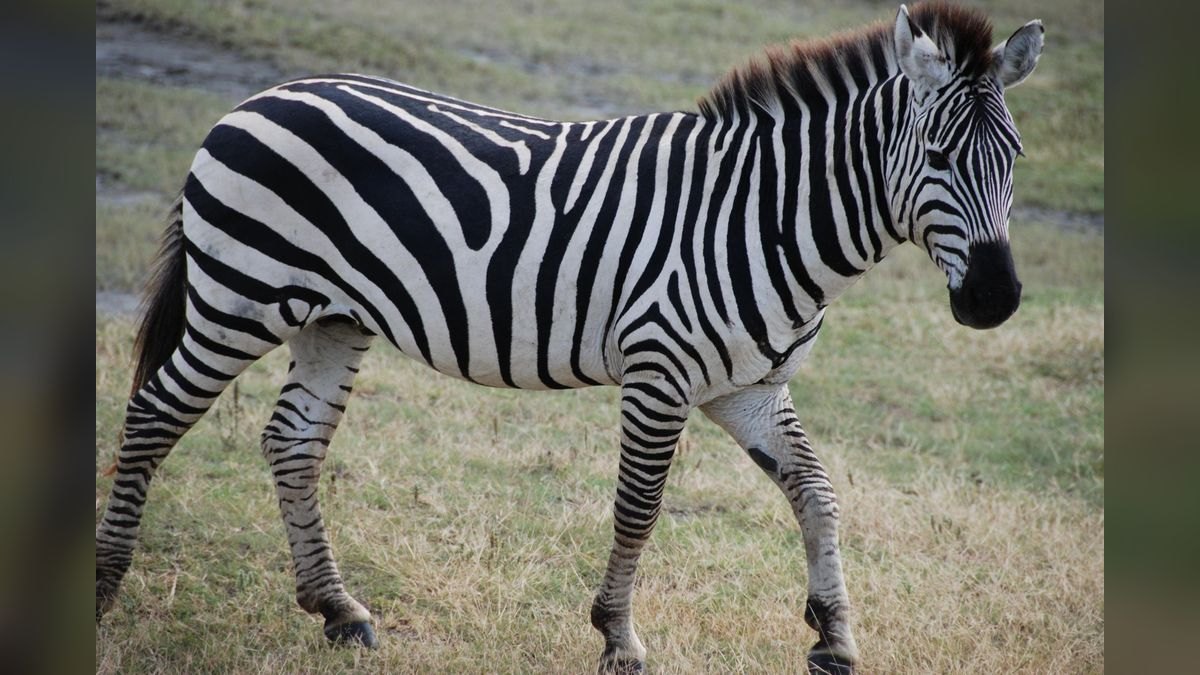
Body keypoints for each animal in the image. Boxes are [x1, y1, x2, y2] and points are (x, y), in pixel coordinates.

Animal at [95, 2, 1043, 672]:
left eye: (1017, 158)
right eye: (937, 156)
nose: (995, 300)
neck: (766, 217)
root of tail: (255, 99)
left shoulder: (749, 384)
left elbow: (816, 490)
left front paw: (835, 637)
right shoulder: (661, 371)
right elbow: (640, 505)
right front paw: (619, 639)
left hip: (332, 316)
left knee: (291, 440)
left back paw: (339, 610)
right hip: (239, 297)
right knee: (150, 416)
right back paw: (103, 591)